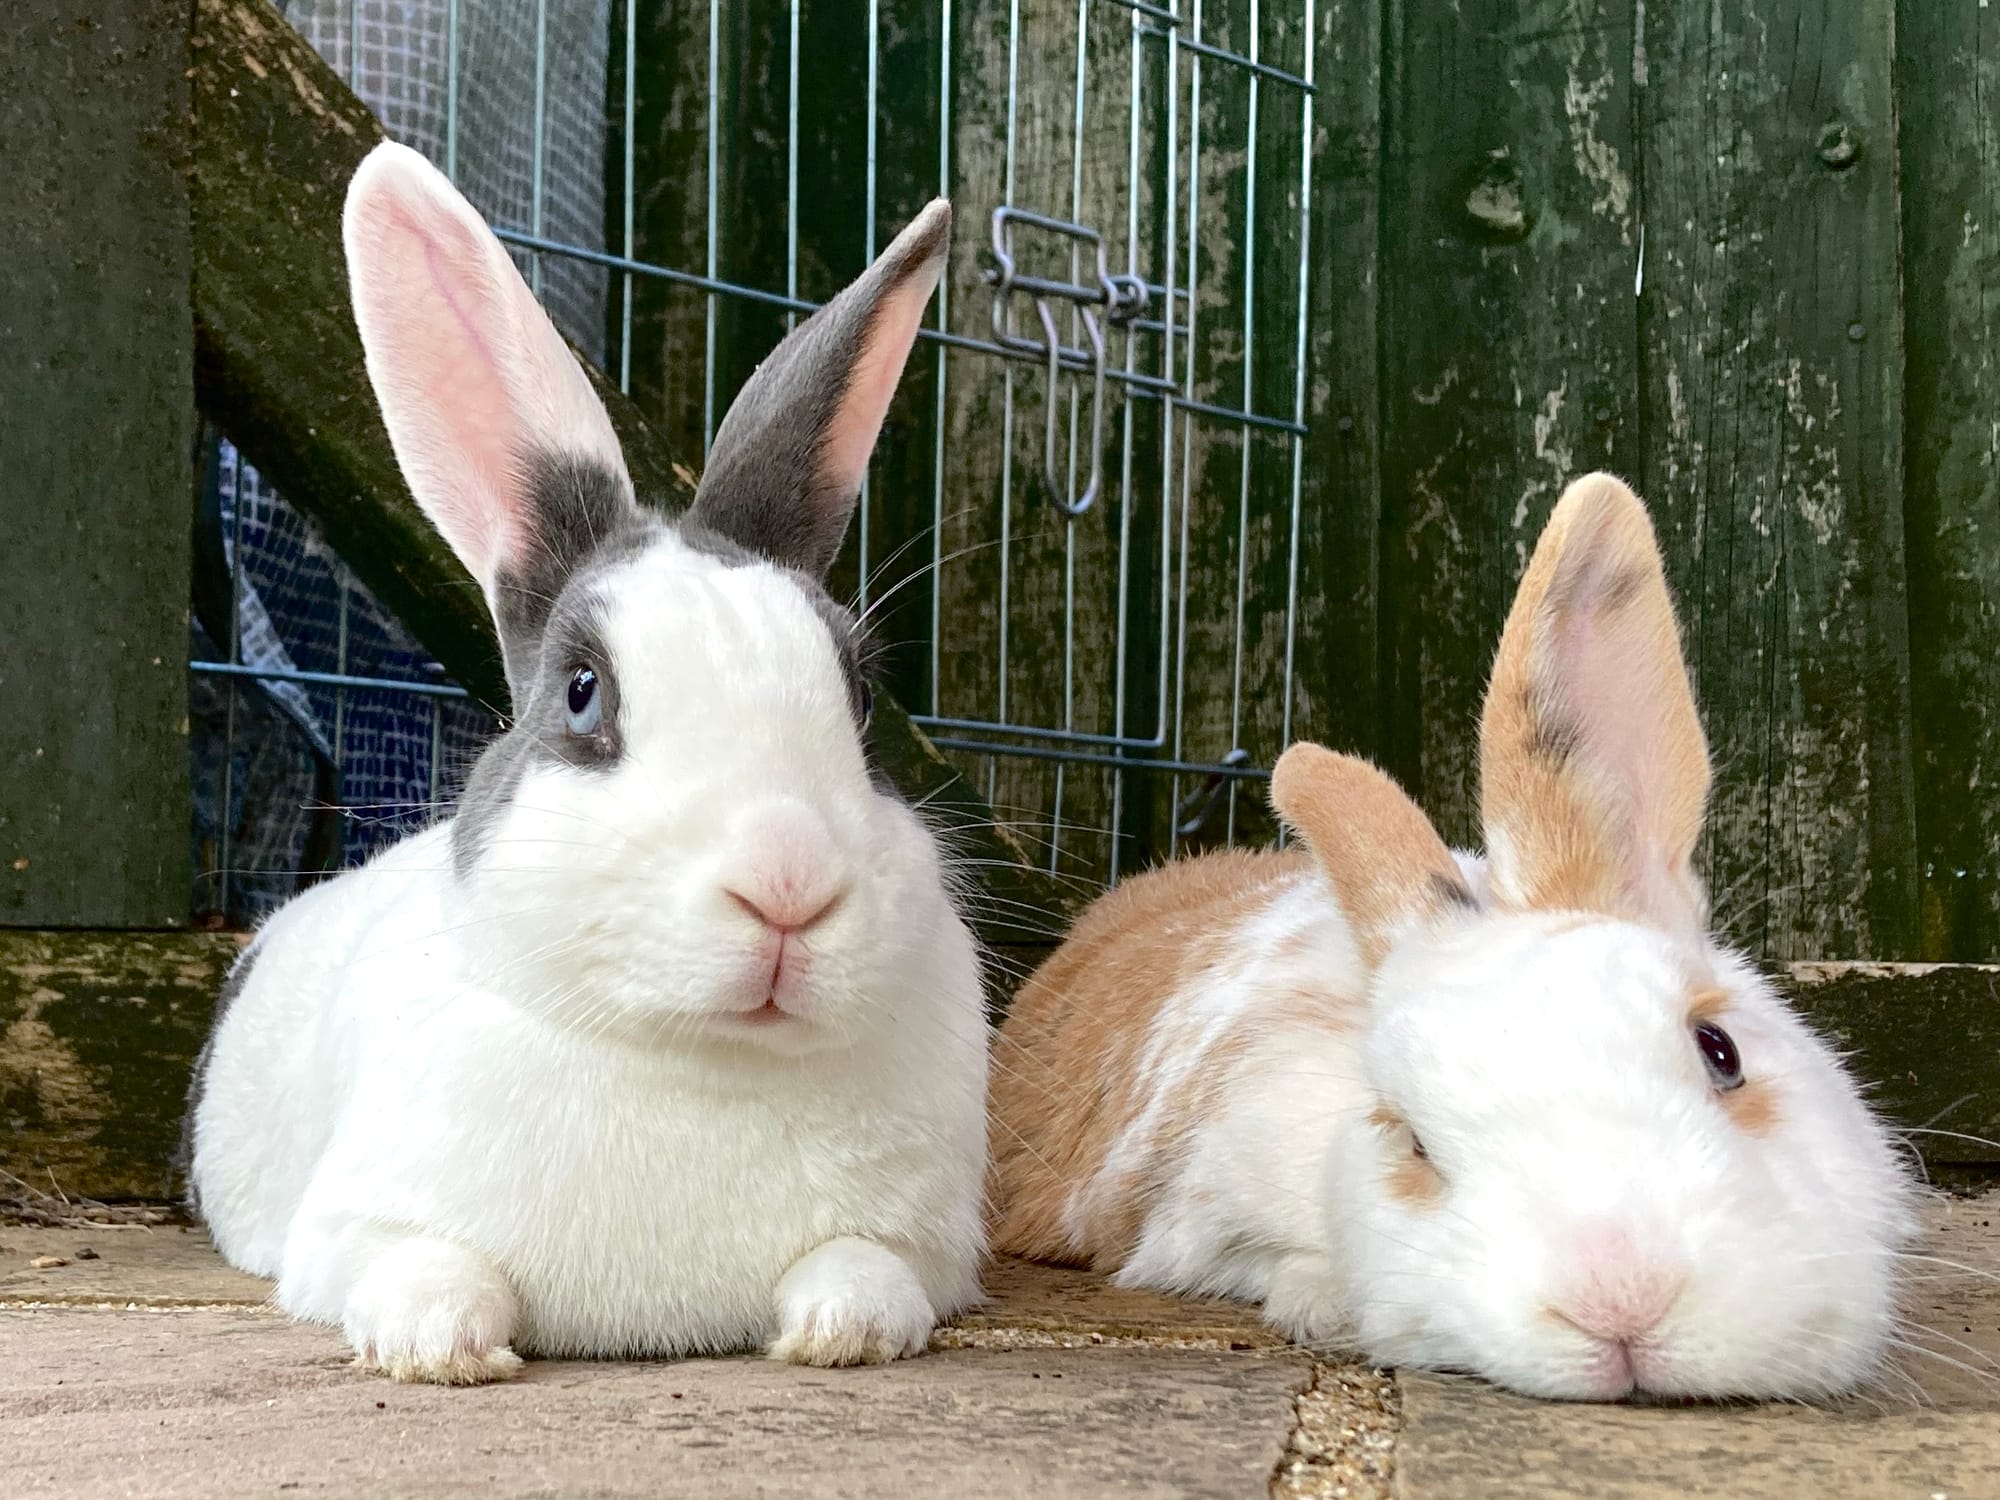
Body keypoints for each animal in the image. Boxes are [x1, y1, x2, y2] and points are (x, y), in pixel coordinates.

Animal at [184, 141, 989, 1385]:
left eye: (858, 697)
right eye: (581, 692)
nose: (788, 885)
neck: (698, 1061)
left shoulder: (927, 1245)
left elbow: (865, 1268)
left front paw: (841, 1334)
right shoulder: (354, 1229)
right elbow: (426, 1267)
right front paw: (440, 1345)